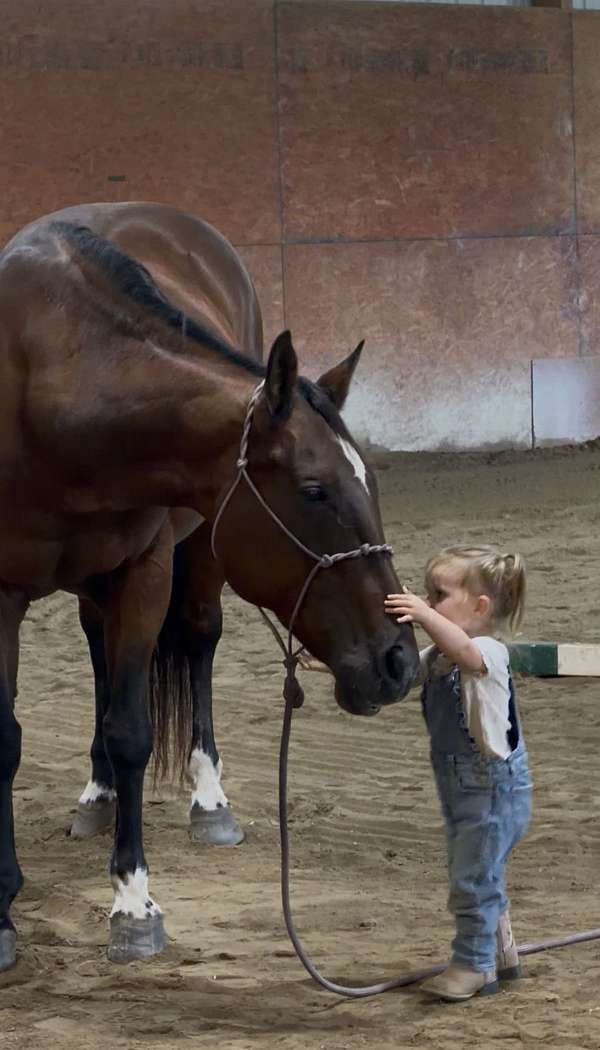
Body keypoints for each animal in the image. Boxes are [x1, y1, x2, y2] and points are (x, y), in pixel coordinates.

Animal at [0, 202, 419, 970]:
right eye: (315, 490)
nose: (399, 660)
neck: (50, 389)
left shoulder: (146, 573)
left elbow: (133, 730)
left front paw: (133, 903)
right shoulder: (1, 595)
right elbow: (7, 739)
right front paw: (2, 912)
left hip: (195, 558)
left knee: (194, 641)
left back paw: (207, 801)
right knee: (98, 651)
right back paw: (98, 792)